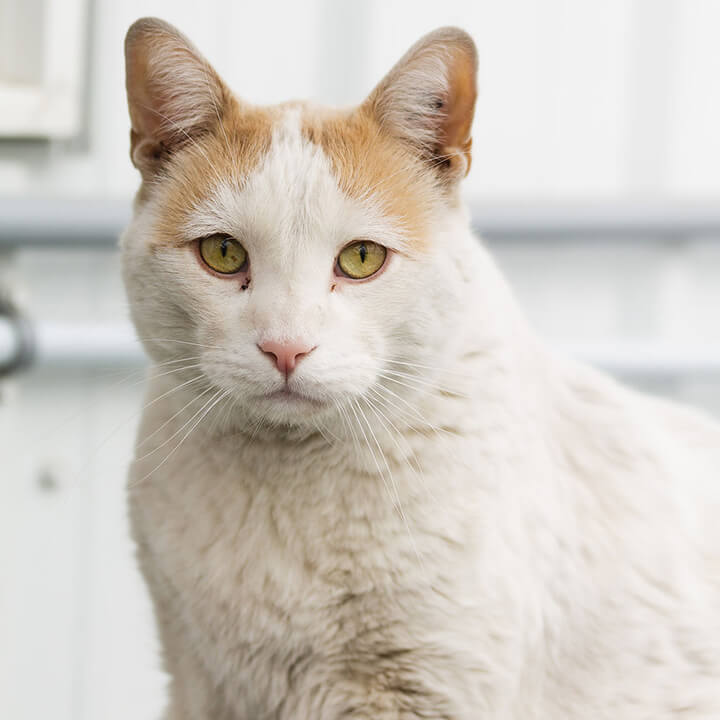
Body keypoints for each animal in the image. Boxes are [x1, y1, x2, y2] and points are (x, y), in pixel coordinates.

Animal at [121, 16, 720, 720]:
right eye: (222, 253)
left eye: (360, 259)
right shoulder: (195, 682)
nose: (286, 347)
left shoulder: (427, 687)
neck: (286, 476)